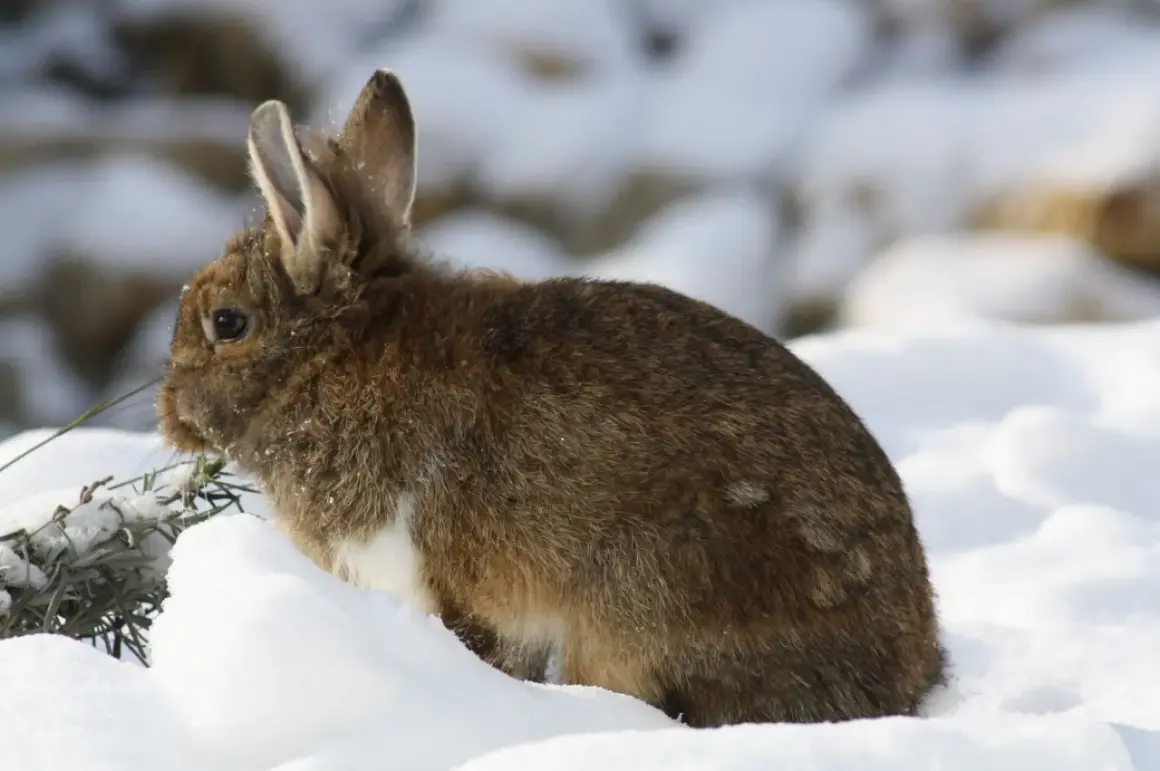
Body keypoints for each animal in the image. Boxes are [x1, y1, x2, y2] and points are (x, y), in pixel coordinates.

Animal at [159, 68, 948, 728]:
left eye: (227, 323)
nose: (168, 415)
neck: (333, 359)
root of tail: (902, 678)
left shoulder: (439, 581)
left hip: (650, 588)